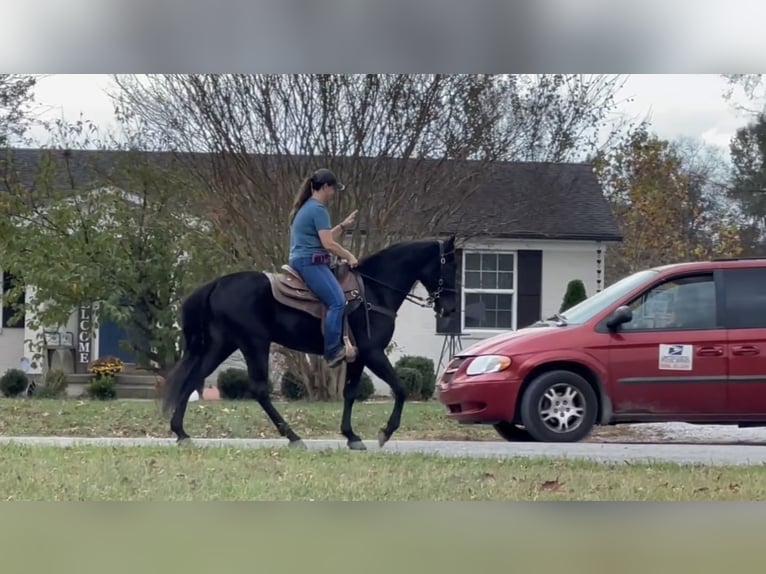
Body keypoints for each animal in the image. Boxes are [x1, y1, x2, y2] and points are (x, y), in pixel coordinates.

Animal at [161, 236, 456, 452]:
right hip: (253, 343)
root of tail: (218, 283)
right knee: (259, 390)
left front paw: (351, 436)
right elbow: (401, 388)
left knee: (193, 379)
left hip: (223, 344)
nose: (450, 310)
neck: (374, 291)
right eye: (450, 266)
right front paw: (386, 432)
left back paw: (181, 432)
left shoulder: (358, 357)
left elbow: (350, 393)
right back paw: (292, 436)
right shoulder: (373, 352)